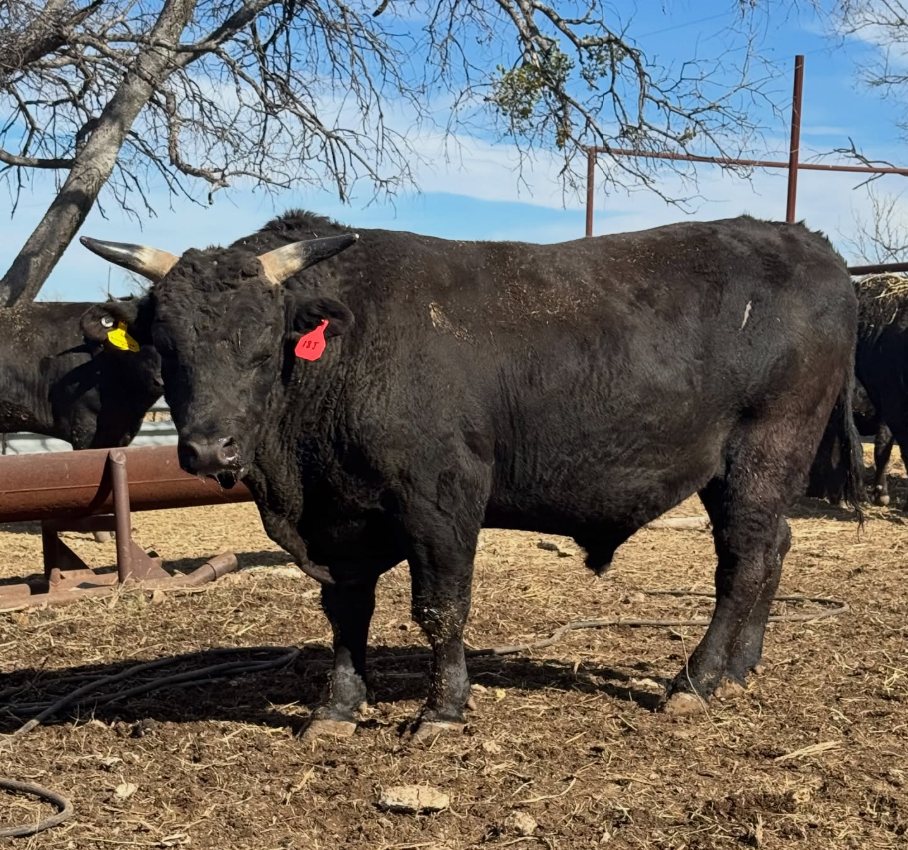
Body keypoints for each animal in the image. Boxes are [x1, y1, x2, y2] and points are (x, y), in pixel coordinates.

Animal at [81, 211, 862, 737]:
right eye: (165, 345)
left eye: (262, 339)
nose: (209, 450)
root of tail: (806, 242)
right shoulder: (339, 522)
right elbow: (346, 612)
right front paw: (338, 706)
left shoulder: (442, 496)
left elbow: (440, 607)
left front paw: (443, 710)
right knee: (772, 548)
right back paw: (740, 666)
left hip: (764, 448)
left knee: (745, 560)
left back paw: (696, 681)